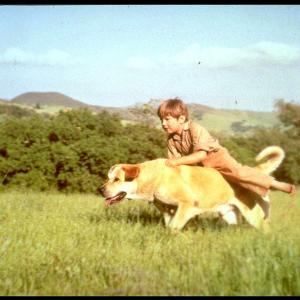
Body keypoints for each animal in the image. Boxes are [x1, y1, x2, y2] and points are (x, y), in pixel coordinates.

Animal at [99, 146, 284, 231]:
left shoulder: (187, 205)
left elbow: (174, 227)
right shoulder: (168, 212)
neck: (155, 177)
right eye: (108, 178)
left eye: (117, 179)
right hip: (230, 215)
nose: (100, 190)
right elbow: (169, 225)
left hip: (253, 215)